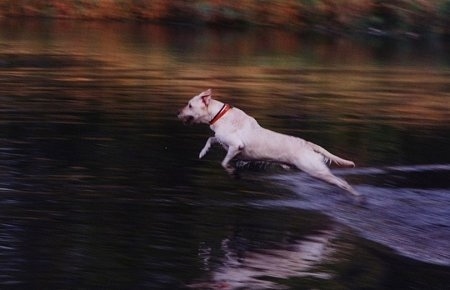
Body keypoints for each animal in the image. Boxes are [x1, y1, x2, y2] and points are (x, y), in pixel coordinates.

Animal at [178, 89, 362, 199]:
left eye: (189, 105)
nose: (178, 113)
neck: (218, 114)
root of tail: (308, 144)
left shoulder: (236, 146)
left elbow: (224, 162)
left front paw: (232, 172)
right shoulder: (222, 139)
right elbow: (211, 139)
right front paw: (203, 152)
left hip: (315, 170)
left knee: (342, 182)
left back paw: (355, 196)